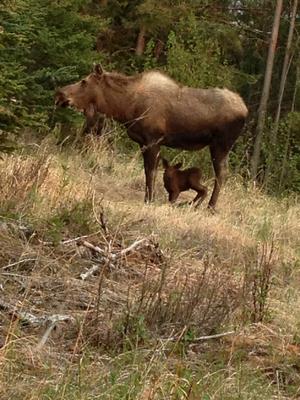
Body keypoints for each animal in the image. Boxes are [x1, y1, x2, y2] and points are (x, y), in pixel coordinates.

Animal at [55, 65, 247, 209]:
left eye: (84, 81)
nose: (60, 93)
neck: (125, 107)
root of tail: (246, 110)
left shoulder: (153, 140)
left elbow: (150, 172)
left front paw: (149, 199)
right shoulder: (143, 142)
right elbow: (148, 171)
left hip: (221, 144)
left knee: (221, 174)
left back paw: (210, 206)